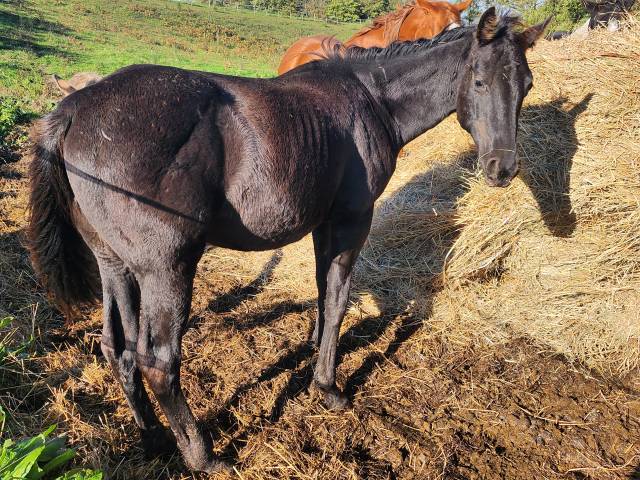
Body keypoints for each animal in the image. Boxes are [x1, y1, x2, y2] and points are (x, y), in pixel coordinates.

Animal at [27, 9, 552, 474]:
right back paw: (203, 455)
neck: (370, 98)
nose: (503, 169)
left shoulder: (323, 224)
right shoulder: (350, 221)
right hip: (167, 269)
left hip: (114, 264)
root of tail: (72, 110)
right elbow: (337, 299)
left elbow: (323, 293)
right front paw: (329, 388)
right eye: (479, 81)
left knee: (116, 348)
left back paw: (154, 438)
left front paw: (316, 351)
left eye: (526, 85)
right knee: (157, 362)